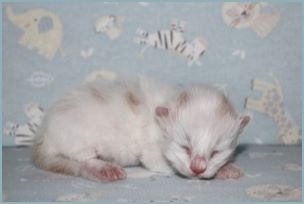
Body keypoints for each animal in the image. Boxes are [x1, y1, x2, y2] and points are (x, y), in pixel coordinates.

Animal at [31, 74, 249, 182]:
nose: (198, 169)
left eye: (216, 152)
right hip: (77, 139)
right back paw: (102, 168)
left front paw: (223, 167)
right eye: (184, 147)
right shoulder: (153, 153)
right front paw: (225, 170)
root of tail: (43, 136)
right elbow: (169, 166)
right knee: (82, 160)